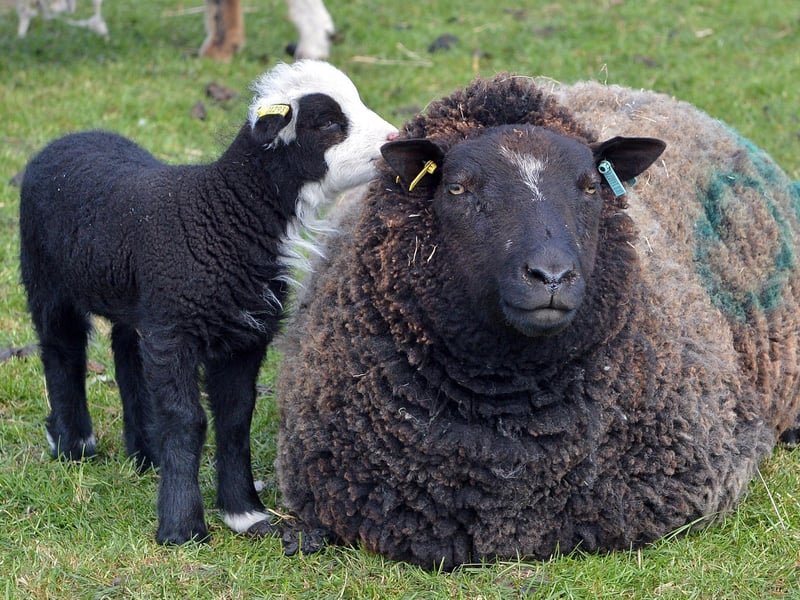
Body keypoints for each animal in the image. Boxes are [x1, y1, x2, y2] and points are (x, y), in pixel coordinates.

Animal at [18, 59, 397, 545]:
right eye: (328, 122)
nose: (393, 140)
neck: (223, 214)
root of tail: (69, 137)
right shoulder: (175, 333)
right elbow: (188, 420)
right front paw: (182, 526)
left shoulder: (243, 335)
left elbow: (234, 419)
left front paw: (244, 513)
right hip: (47, 278)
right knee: (62, 351)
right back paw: (74, 445)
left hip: (139, 301)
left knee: (127, 357)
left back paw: (147, 455)